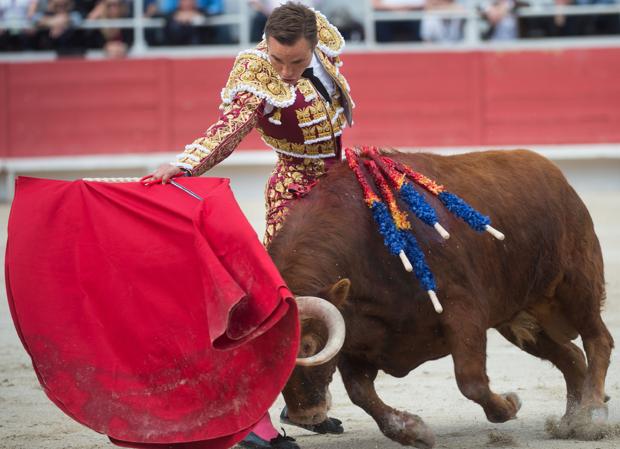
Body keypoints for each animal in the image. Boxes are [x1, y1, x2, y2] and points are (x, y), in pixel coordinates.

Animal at [272, 150, 616, 448]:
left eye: (308, 346)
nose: (305, 417)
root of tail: (554, 173)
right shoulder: (356, 333)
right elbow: (361, 394)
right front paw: (415, 432)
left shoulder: (462, 310)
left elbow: (470, 379)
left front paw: (509, 404)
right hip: (517, 316)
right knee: (571, 356)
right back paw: (572, 421)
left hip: (577, 283)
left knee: (597, 339)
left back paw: (592, 415)